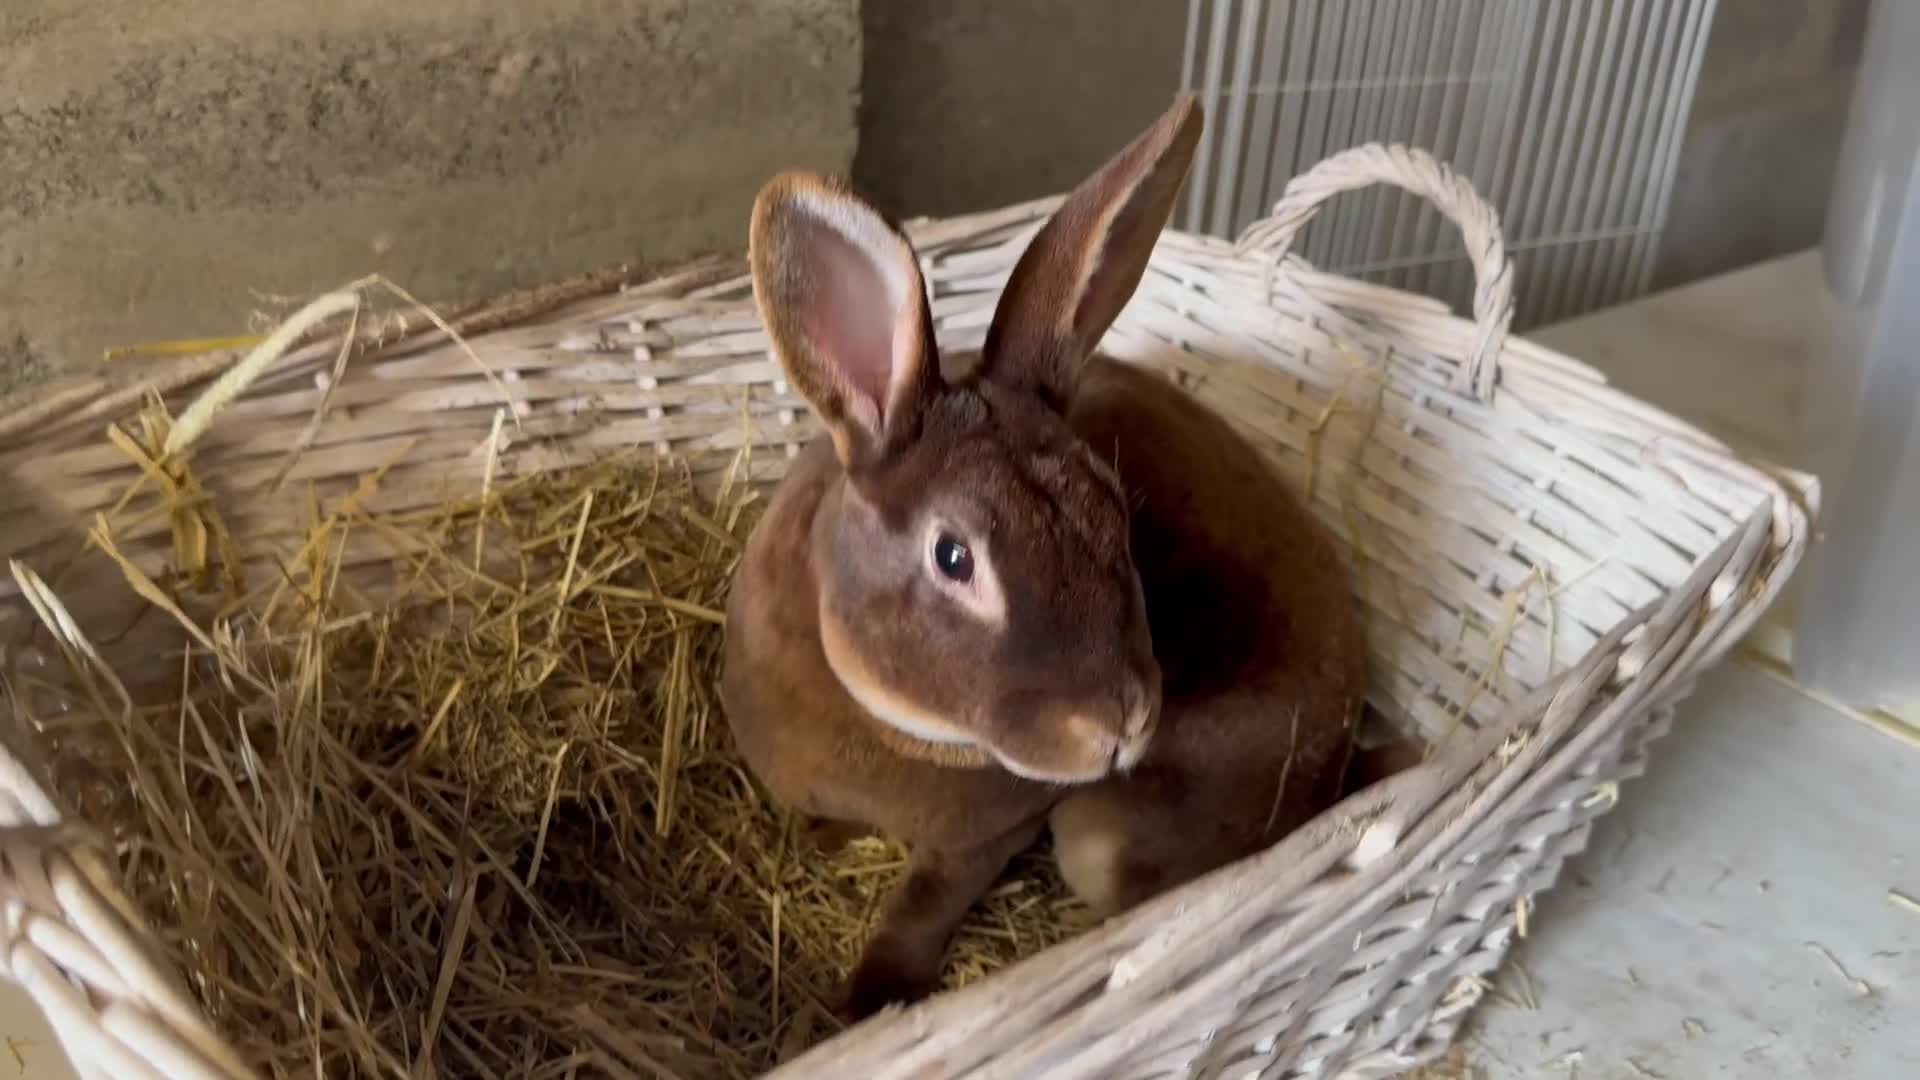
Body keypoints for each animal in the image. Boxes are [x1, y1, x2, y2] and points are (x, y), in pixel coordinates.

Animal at [721, 92, 1366, 1022]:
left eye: (1116, 514)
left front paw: (868, 1001)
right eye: (953, 557)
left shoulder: (985, 839)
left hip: (1103, 838)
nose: (1122, 723)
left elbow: (921, 908)